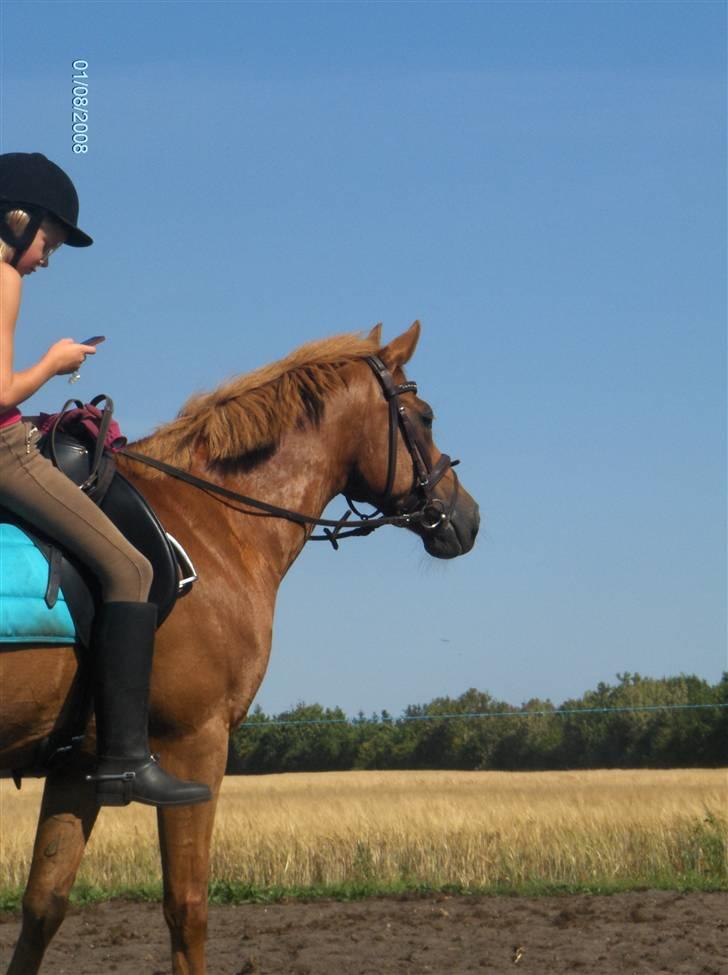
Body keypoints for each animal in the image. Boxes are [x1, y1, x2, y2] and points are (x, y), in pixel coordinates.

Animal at [0, 322, 480, 975]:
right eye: (425, 417)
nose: (467, 517)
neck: (213, 520)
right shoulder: (195, 743)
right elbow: (187, 907)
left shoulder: (78, 762)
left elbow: (43, 906)